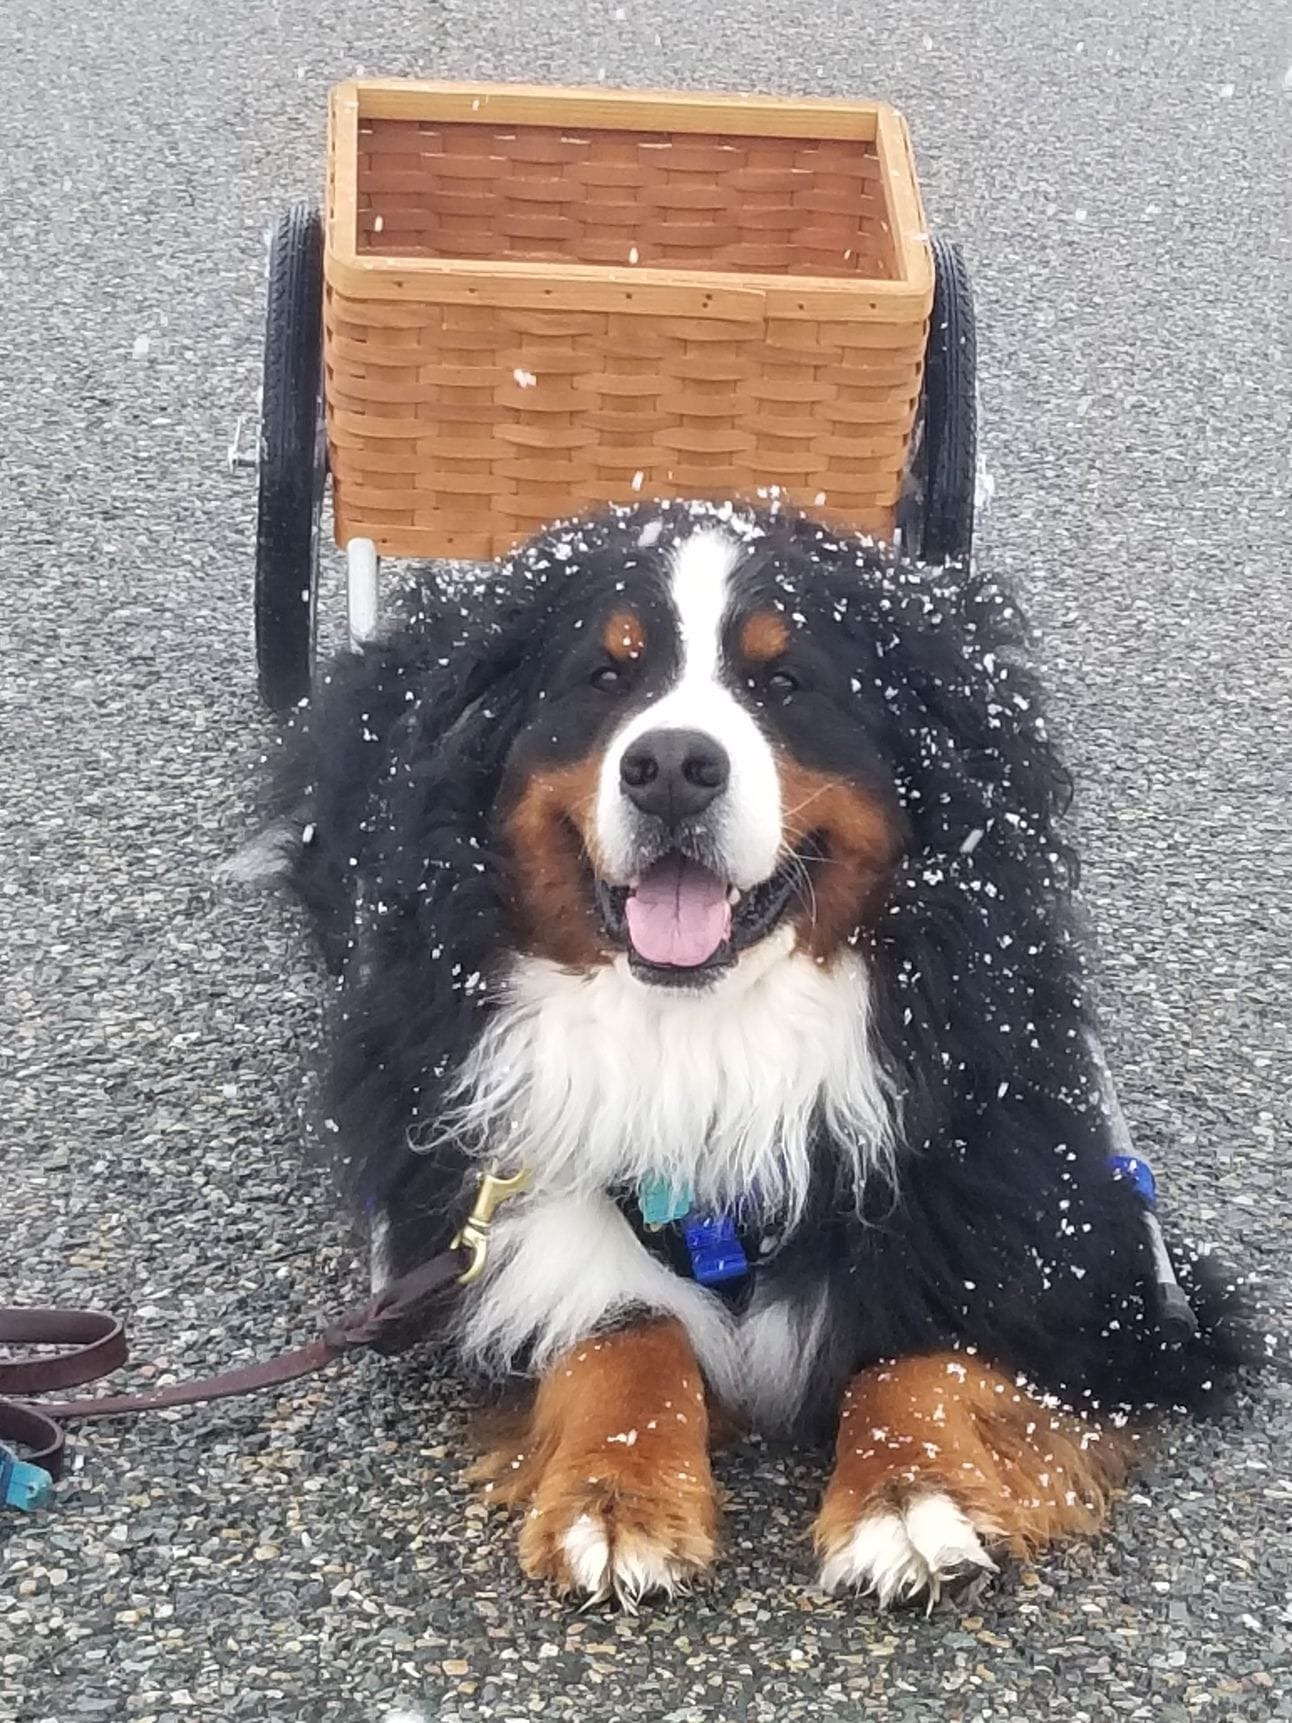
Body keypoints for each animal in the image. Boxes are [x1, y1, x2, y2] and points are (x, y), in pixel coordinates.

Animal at [256, 500, 1247, 1607]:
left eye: (784, 681)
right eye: (604, 676)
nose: (670, 767)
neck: (708, 1030)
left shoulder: (1065, 1239)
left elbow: (927, 1343)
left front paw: (911, 1493)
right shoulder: (472, 1211)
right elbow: (618, 1324)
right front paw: (617, 1487)